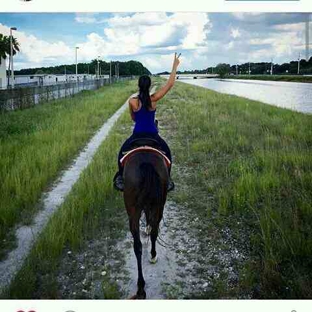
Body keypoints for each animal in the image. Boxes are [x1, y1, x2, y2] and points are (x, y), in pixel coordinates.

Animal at [123, 150, 169, 298]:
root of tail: (146, 162)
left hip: (134, 210)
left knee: (138, 245)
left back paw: (141, 286)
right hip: (159, 204)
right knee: (153, 232)